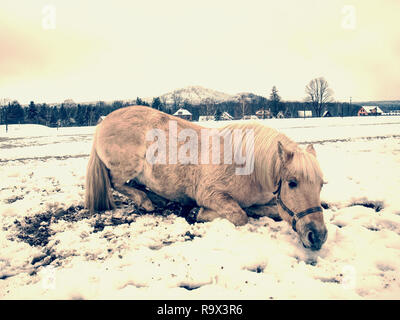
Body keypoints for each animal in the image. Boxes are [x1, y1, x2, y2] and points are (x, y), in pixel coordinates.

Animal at [85, 105, 328, 250]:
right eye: (292, 183)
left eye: (321, 186)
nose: (318, 236)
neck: (248, 168)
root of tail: (104, 122)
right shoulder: (211, 194)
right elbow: (239, 215)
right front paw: (198, 212)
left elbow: (268, 210)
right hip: (127, 168)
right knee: (117, 183)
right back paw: (147, 202)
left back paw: (157, 199)